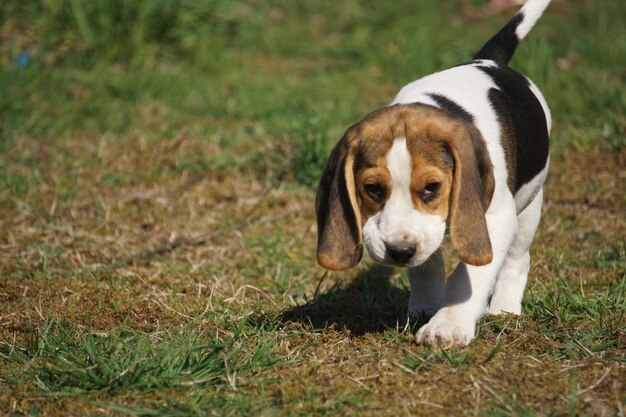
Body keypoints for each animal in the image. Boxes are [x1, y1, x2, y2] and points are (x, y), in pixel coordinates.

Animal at [314, 0, 548, 344]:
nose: (399, 252)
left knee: (518, 257)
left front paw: (447, 324)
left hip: (530, 201)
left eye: (431, 188)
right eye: (372, 189)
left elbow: (469, 275)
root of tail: (487, 60)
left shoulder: (493, 217)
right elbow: (425, 263)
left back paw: (504, 308)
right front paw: (426, 305)